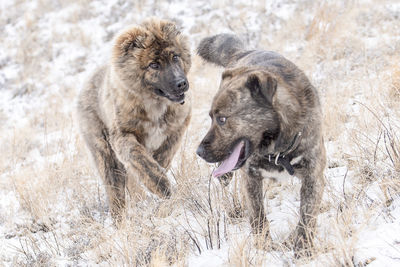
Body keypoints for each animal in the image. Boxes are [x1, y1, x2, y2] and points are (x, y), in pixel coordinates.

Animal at [77, 18, 192, 223]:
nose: (181, 83)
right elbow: (139, 157)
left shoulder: (178, 127)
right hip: (104, 153)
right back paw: (120, 222)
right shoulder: (122, 136)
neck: (155, 105)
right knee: (115, 191)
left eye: (175, 57)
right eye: (153, 65)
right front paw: (160, 185)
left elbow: (163, 155)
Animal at [196, 34, 324, 258]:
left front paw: (302, 250)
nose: (199, 152)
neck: (279, 148)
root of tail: (243, 52)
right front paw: (263, 248)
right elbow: (258, 217)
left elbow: (306, 217)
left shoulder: (313, 177)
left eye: (222, 119)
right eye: (210, 117)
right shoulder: (251, 179)